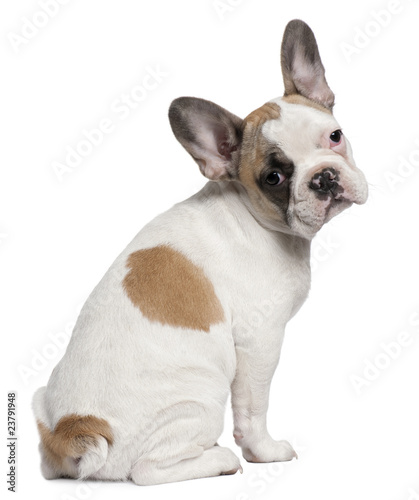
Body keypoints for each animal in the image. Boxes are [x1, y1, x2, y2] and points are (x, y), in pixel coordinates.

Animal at [32, 18, 368, 484]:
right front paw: (264, 452)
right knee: (147, 469)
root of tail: (71, 430)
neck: (256, 218)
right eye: (274, 178)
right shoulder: (259, 342)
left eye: (335, 136)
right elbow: (253, 409)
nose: (324, 177)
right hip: (199, 397)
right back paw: (220, 459)